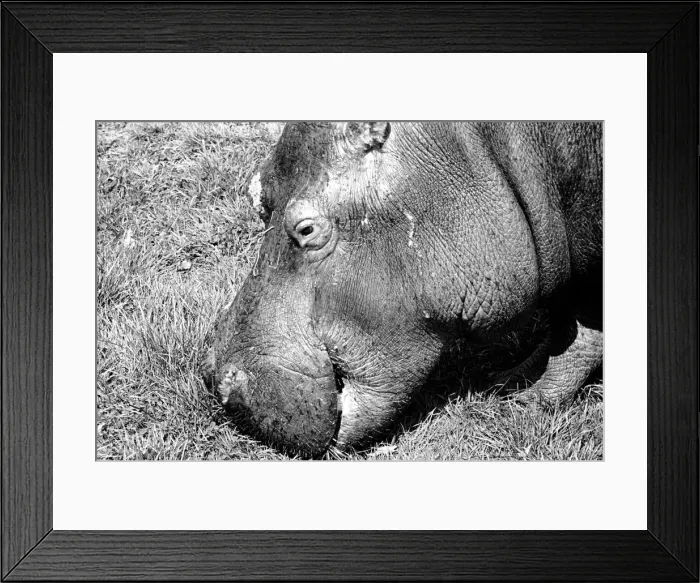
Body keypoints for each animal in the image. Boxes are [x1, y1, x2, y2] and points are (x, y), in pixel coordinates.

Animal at [203, 122, 603, 458]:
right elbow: (563, 315)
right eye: (255, 193)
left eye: (307, 229)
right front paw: (511, 383)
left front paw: (530, 399)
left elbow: (577, 324)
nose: (219, 383)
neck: (476, 142)